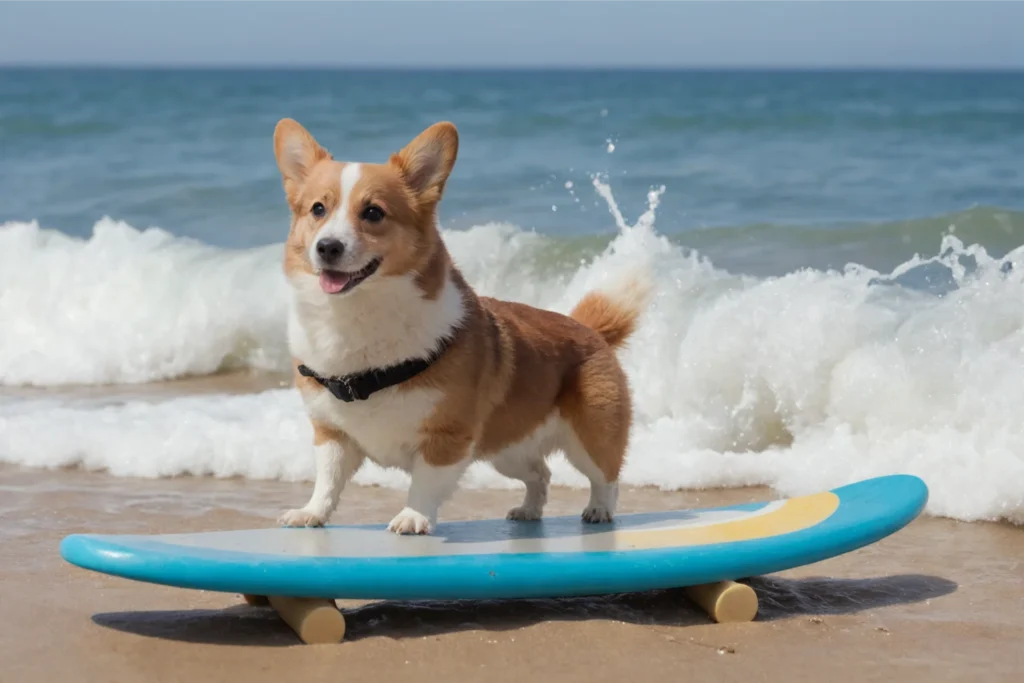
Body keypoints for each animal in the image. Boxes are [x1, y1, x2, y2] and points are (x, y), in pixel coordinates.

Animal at [268, 118, 643, 532]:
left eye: (373, 213)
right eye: (318, 209)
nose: (327, 247)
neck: (356, 315)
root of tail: (588, 328)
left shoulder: (446, 437)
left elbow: (424, 483)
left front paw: (413, 517)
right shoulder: (332, 435)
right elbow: (328, 480)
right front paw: (311, 513)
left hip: (589, 438)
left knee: (606, 476)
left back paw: (599, 510)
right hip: (505, 448)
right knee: (540, 474)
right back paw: (528, 510)